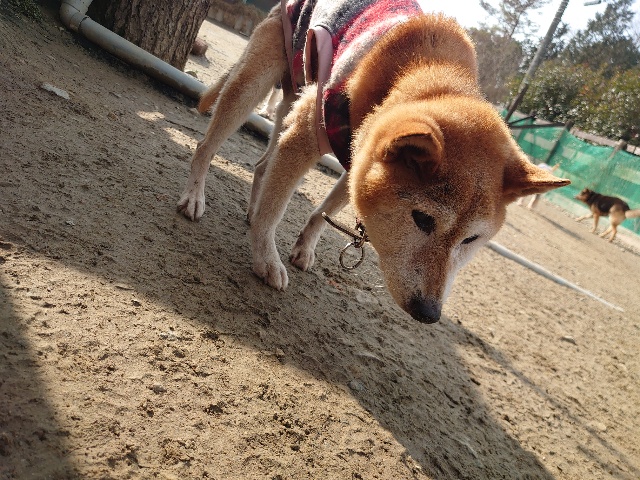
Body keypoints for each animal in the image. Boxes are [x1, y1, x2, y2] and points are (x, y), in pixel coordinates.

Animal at [177, 0, 570, 323]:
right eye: (423, 220)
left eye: (471, 239)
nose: (428, 313)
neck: (419, 68)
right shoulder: (307, 136)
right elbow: (276, 212)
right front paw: (266, 261)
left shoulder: (358, 158)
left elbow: (322, 212)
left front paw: (303, 247)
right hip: (256, 83)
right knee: (207, 146)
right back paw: (194, 196)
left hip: (290, 102)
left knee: (262, 166)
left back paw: (251, 209)